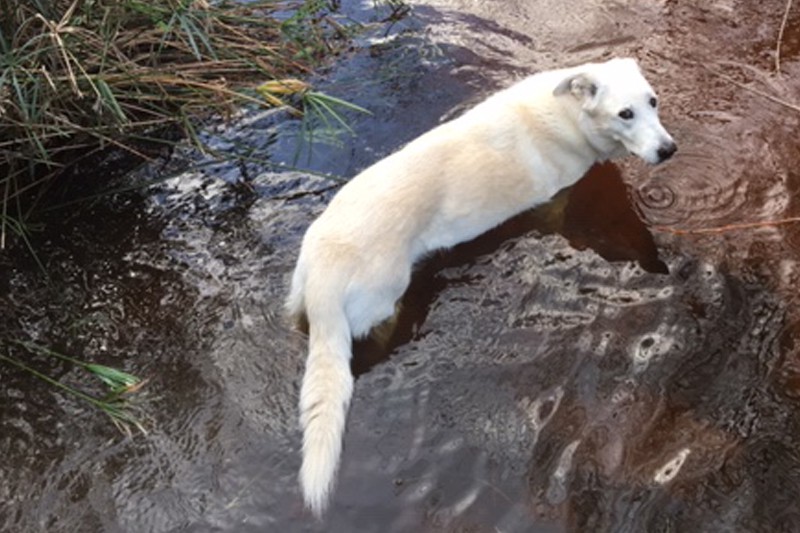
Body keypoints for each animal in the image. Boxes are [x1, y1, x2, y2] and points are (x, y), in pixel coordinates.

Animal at [286, 56, 676, 512]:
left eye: (653, 102)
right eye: (625, 114)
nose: (669, 150)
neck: (568, 115)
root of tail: (324, 276)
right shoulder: (555, 203)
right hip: (381, 306)